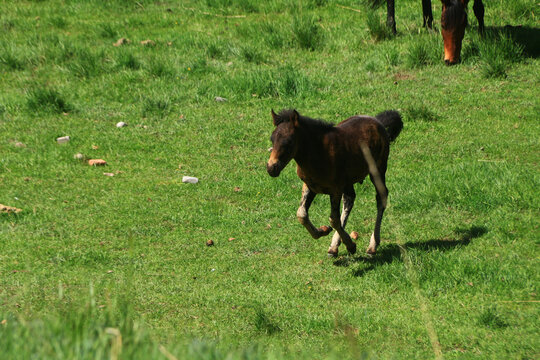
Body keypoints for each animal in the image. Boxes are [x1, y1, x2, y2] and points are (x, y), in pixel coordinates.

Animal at [268, 109, 402, 256]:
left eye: (289, 141)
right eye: (272, 139)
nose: (271, 168)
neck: (318, 154)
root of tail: (378, 121)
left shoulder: (335, 189)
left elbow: (334, 219)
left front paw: (350, 245)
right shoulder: (309, 186)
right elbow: (301, 214)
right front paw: (323, 231)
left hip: (377, 170)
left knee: (381, 197)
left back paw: (372, 245)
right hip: (348, 182)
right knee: (350, 199)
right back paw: (334, 246)